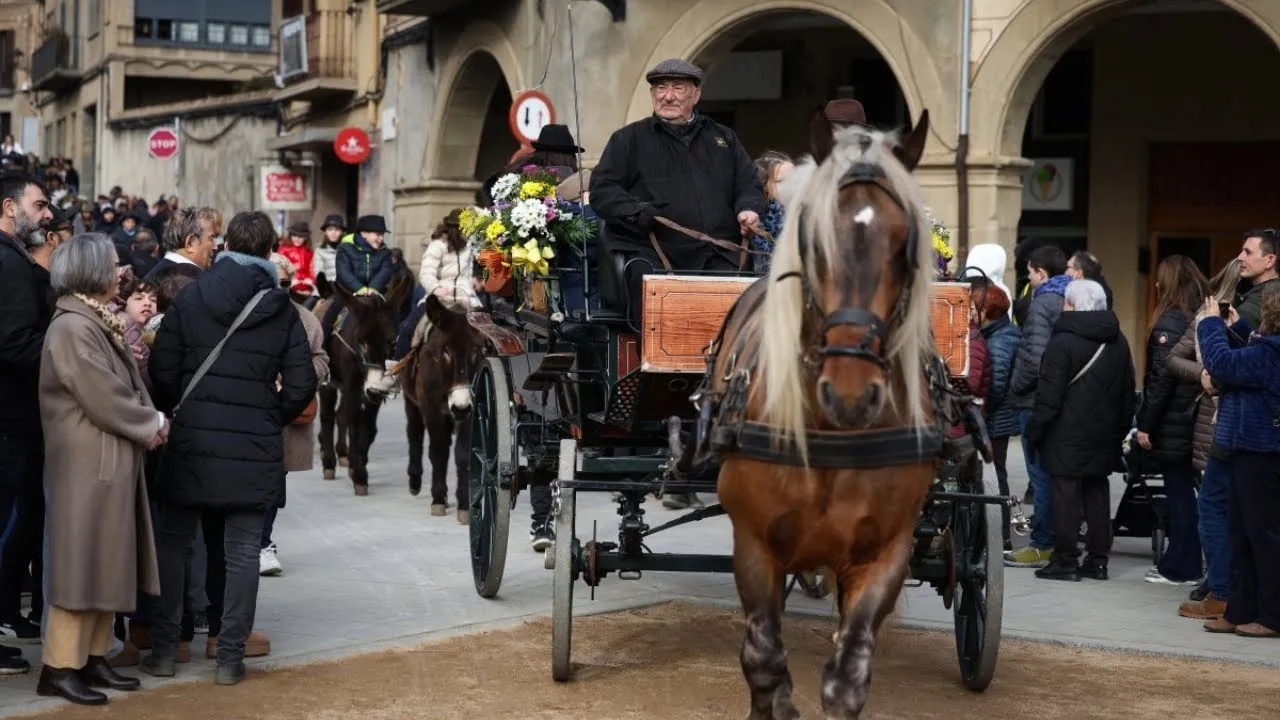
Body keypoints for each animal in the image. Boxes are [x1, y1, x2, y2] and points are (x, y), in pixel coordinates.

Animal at [401, 292, 486, 515]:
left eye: (476, 351)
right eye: (445, 351)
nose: (459, 407)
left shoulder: (470, 411)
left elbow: (463, 454)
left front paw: (464, 505)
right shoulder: (433, 411)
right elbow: (438, 452)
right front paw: (438, 499)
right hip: (411, 402)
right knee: (414, 434)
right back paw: (414, 481)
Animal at [706, 109, 936, 712]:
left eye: (904, 245)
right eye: (815, 242)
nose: (851, 393)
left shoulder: (885, 553)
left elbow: (846, 676)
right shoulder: (754, 545)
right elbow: (765, 664)